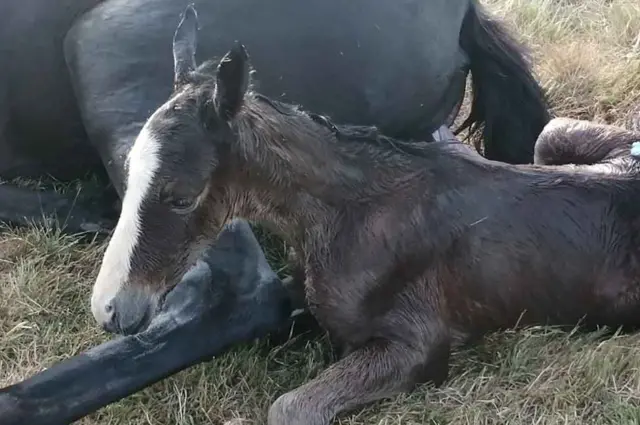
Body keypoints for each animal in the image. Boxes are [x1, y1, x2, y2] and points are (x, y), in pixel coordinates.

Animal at [94, 11, 640, 422]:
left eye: (181, 198)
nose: (110, 310)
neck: (346, 218)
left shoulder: (422, 345)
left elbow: (288, 408)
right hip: (554, 135)